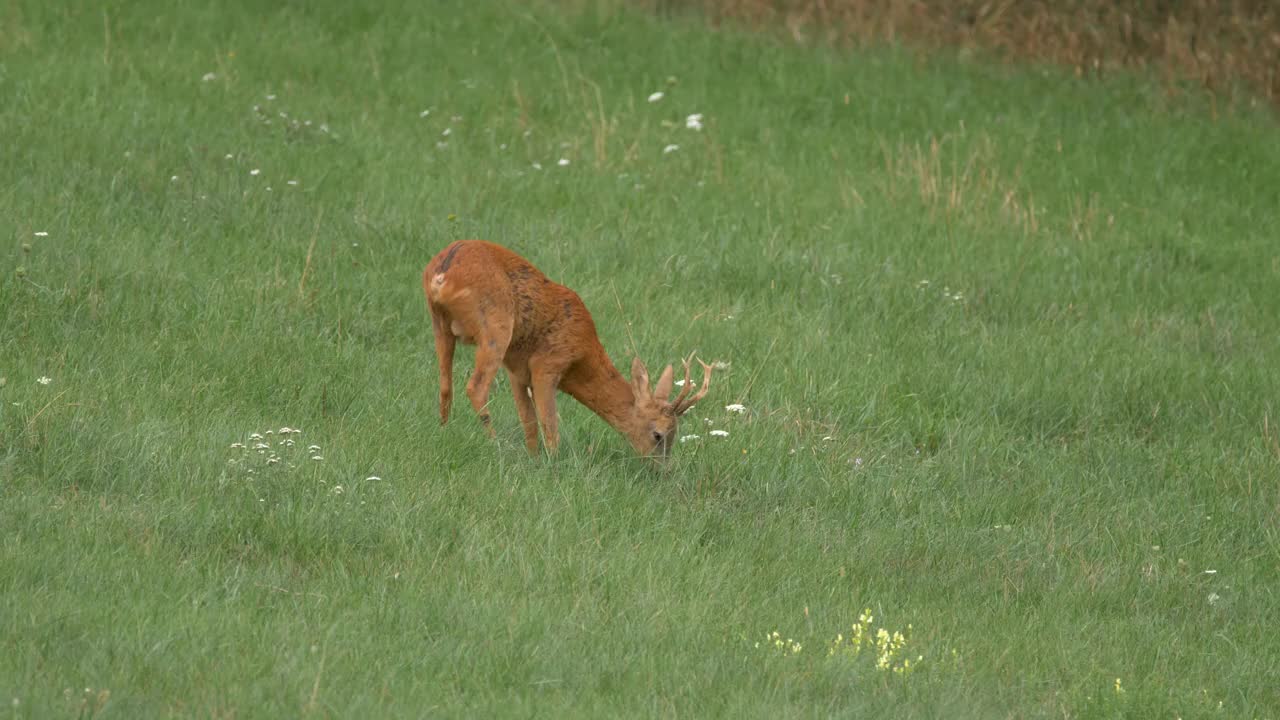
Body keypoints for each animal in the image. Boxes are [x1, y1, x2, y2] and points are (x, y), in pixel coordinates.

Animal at [427, 238, 711, 456]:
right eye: (658, 435)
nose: (663, 469)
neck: (582, 353)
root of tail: (442, 273)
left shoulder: (517, 372)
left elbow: (529, 422)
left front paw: (533, 458)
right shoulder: (547, 364)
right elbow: (549, 425)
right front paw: (552, 463)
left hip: (440, 325)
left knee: (445, 386)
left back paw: (444, 430)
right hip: (495, 326)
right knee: (476, 387)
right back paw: (493, 441)